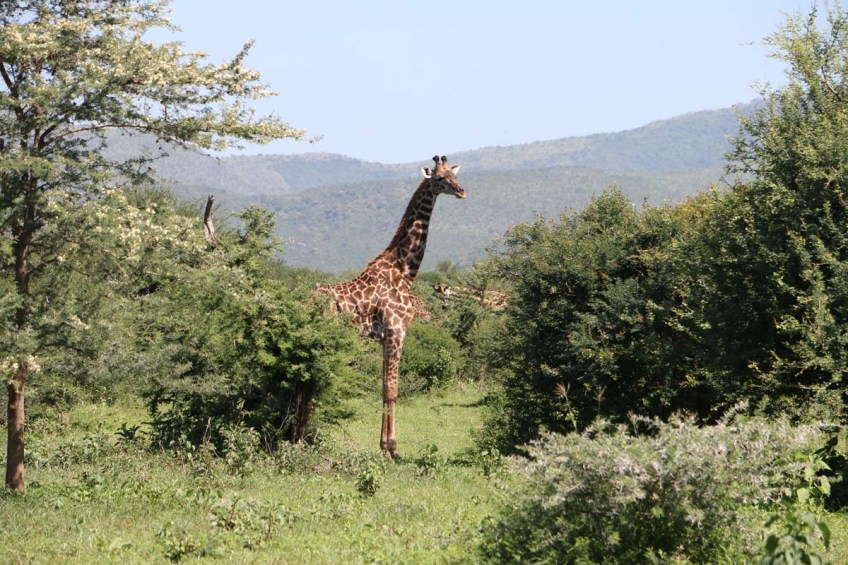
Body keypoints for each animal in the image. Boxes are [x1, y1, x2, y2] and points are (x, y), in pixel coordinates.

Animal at [317, 155, 465, 458]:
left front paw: (383, 446)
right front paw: (393, 449)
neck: (404, 271)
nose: (461, 191)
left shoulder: (384, 336)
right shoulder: (397, 330)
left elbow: (384, 388)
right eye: (439, 178)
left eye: (454, 174)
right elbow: (393, 390)